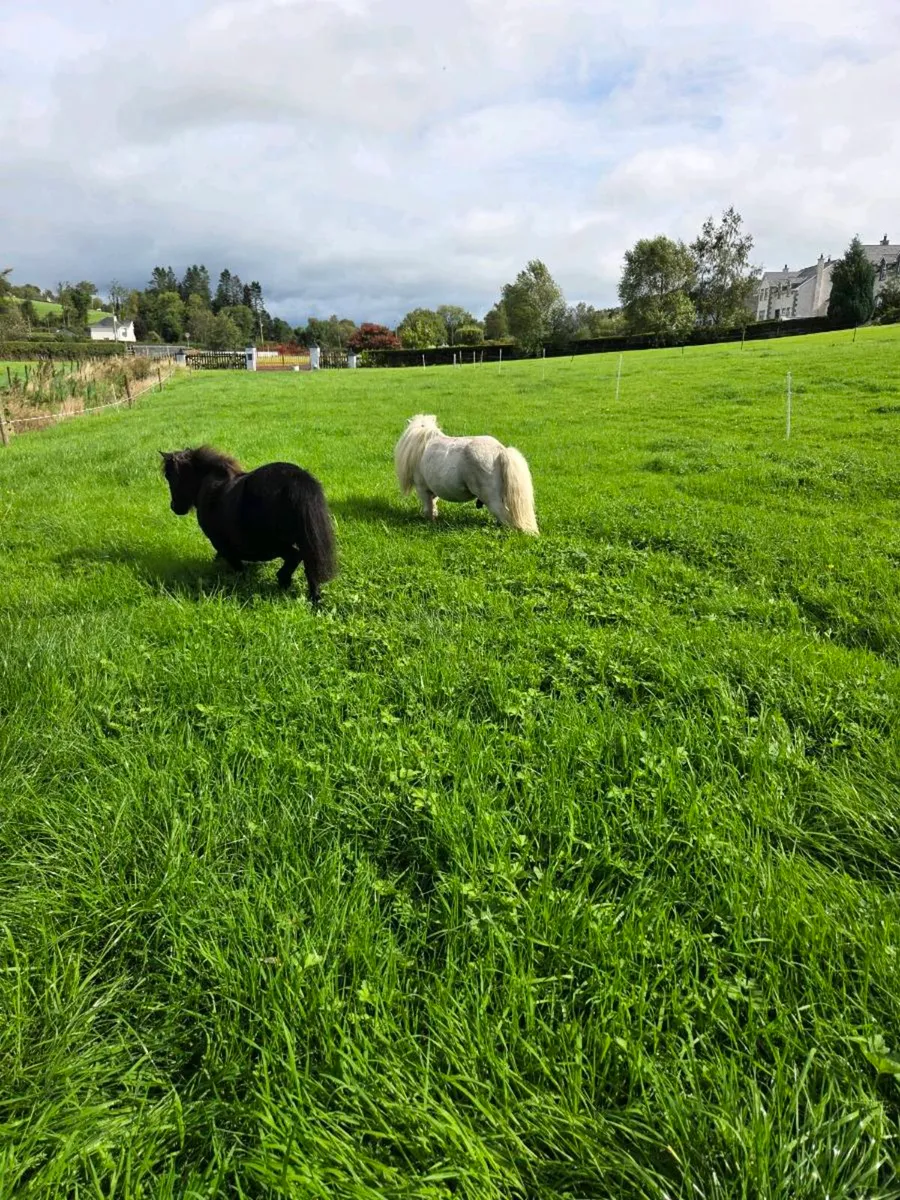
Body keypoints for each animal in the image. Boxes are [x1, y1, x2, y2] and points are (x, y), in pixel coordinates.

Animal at [160, 446, 337, 604]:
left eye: (170, 476)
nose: (174, 507)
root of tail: (296, 479)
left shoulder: (222, 543)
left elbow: (237, 565)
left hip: (273, 544)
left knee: (296, 556)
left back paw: (283, 581)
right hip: (305, 539)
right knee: (310, 567)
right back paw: (314, 599)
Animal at [394, 414, 539, 534]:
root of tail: (500, 451)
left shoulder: (422, 489)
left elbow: (428, 508)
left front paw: (430, 522)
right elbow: (433, 505)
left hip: (492, 500)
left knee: (505, 518)